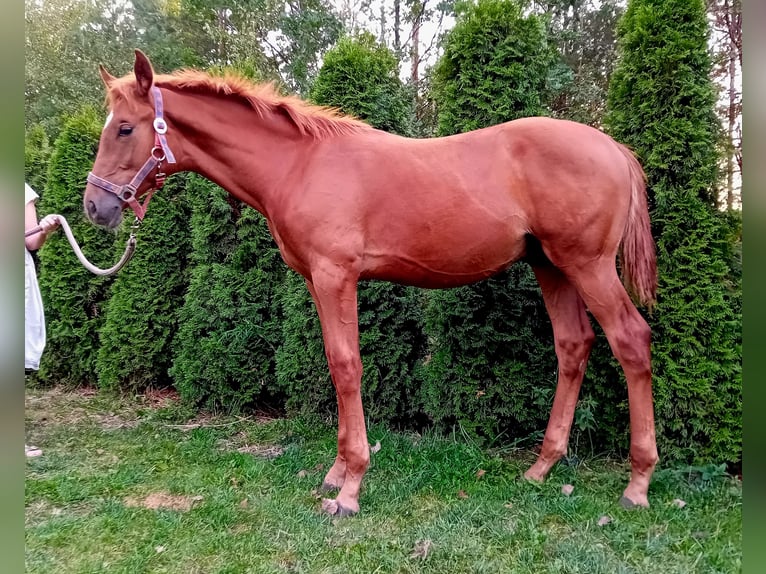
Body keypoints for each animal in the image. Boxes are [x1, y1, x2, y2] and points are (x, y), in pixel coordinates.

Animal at [84, 49, 660, 516]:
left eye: (126, 128)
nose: (96, 207)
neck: (300, 164)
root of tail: (614, 149)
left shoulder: (336, 276)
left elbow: (347, 367)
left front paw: (350, 488)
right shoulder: (318, 281)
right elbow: (335, 364)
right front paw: (335, 473)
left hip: (587, 265)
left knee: (631, 341)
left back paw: (637, 484)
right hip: (551, 266)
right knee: (573, 345)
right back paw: (541, 468)